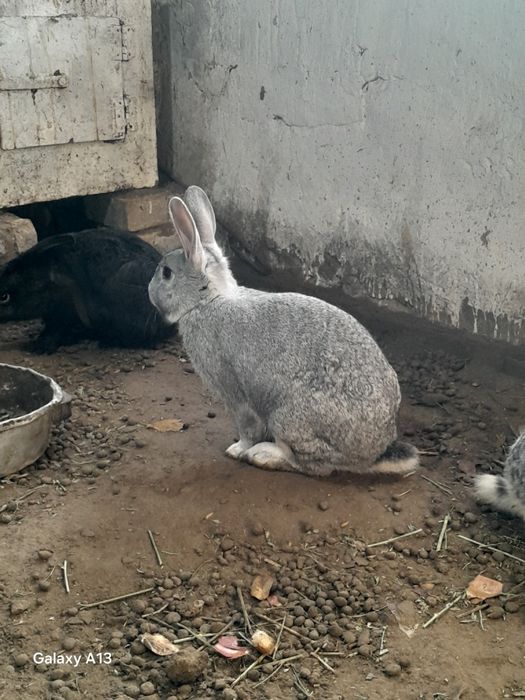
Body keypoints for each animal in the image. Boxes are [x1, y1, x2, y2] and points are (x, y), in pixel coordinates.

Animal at [148, 185, 419, 476]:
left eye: (166, 273)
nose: (149, 291)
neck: (209, 299)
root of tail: (372, 453)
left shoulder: (235, 394)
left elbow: (247, 428)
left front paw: (237, 449)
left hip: (289, 418)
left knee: (312, 464)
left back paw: (263, 455)